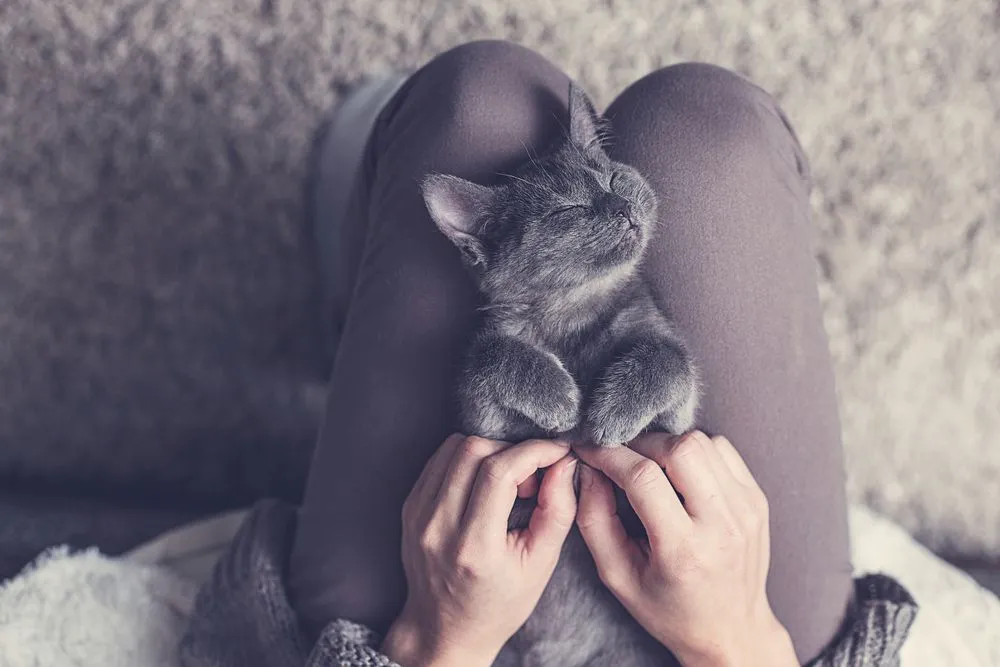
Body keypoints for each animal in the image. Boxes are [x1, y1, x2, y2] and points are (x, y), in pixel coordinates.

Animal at [422, 85, 696, 667]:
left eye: (613, 180)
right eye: (569, 209)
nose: (621, 206)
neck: (576, 315)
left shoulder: (673, 405)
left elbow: (668, 358)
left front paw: (613, 409)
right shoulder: (485, 422)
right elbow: (491, 353)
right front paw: (560, 398)